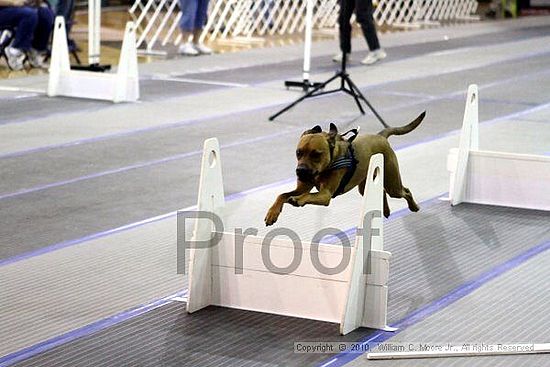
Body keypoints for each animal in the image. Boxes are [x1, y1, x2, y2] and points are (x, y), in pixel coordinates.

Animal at [264, 111, 426, 227]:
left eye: (316, 154)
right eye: (298, 153)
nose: (300, 171)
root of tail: (381, 136)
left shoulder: (325, 195)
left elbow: (308, 195)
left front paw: (298, 200)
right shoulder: (302, 187)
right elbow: (281, 195)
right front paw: (272, 213)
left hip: (393, 185)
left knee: (405, 191)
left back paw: (414, 207)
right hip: (365, 186)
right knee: (381, 191)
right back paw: (386, 209)